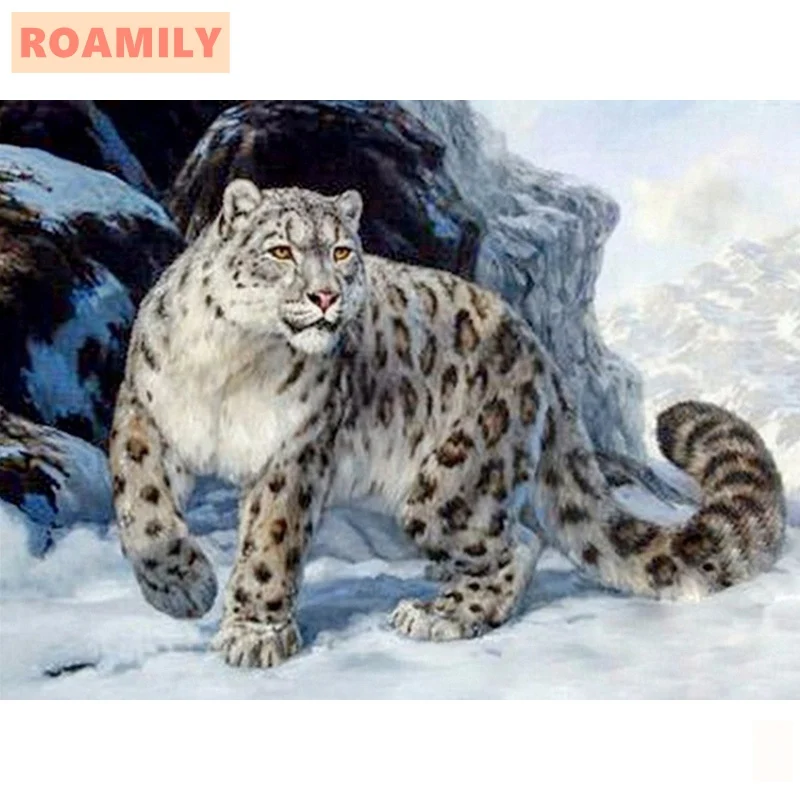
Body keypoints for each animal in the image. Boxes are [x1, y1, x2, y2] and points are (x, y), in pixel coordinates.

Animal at [109, 179, 787, 668]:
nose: (327, 296)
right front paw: (181, 586)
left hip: (451, 484)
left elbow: (270, 542)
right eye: (281, 250)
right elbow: (140, 503)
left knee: (518, 543)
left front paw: (253, 632)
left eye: (341, 252)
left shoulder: (295, 449)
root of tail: (541, 355)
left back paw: (440, 613)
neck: (235, 362)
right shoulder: (145, 410)